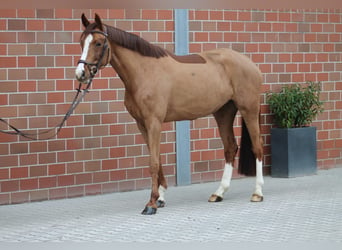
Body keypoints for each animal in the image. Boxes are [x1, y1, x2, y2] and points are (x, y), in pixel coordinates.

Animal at [75, 13, 264, 215]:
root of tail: (251, 64)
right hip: (223, 112)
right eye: (81, 42)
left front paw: (150, 204)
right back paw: (219, 193)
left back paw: (257, 193)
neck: (144, 71)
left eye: (98, 43)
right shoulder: (142, 124)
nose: (80, 74)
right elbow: (156, 159)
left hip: (249, 109)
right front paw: (160, 198)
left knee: (257, 147)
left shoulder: (154, 122)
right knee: (230, 148)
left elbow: (153, 162)